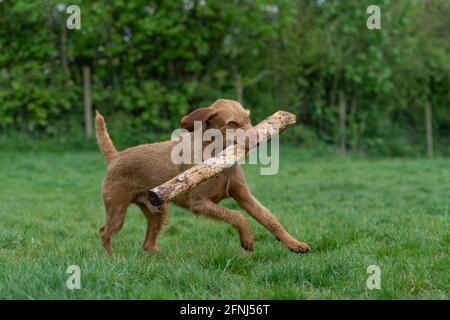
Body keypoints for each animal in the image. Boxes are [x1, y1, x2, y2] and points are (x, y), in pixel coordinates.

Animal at [96, 99, 310, 254]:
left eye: (249, 118)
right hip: (117, 211)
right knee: (104, 233)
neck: (218, 160)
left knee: (147, 244)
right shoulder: (198, 203)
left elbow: (270, 220)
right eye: (232, 124)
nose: (259, 139)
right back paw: (113, 257)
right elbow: (237, 216)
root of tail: (115, 157)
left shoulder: (244, 197)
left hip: (158, 211)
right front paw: (248, 241)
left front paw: (294, 244)